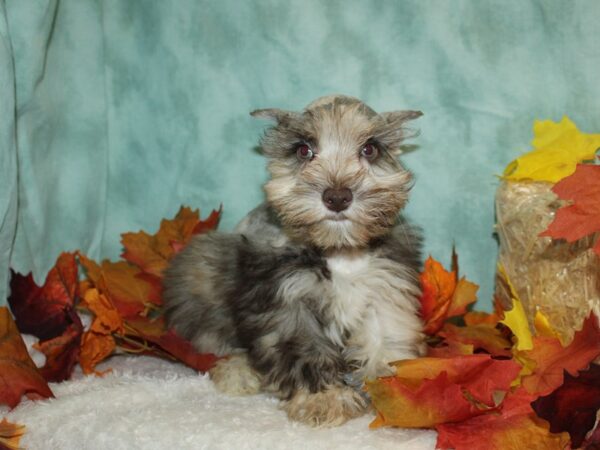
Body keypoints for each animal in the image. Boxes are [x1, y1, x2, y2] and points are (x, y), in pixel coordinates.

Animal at [164, 94, 424, 426]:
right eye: (303, 150)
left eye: (369, 149)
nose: (337, 197)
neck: (338, 250)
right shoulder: (287, 301)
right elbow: (306, 352)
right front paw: (325, 398)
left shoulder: (385, 286)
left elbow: (387, 338)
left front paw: (391, 392)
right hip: (201, 270)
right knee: (213, 344)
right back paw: (238, 374)